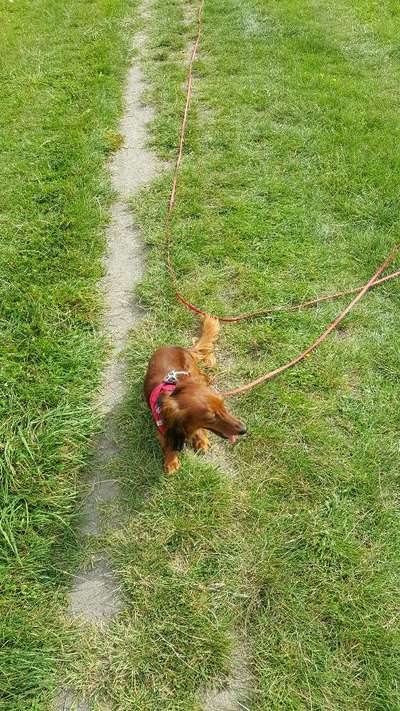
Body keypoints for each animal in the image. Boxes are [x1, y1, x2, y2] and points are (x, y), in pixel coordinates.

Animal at [145, 318, 245, 472]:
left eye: (223, 406)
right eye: (211, 417)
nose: (244, 430)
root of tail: (179, 347)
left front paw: (201, 439)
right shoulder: (164, 430)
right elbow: (170, 443)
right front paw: (171, 460)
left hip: (192, 370)